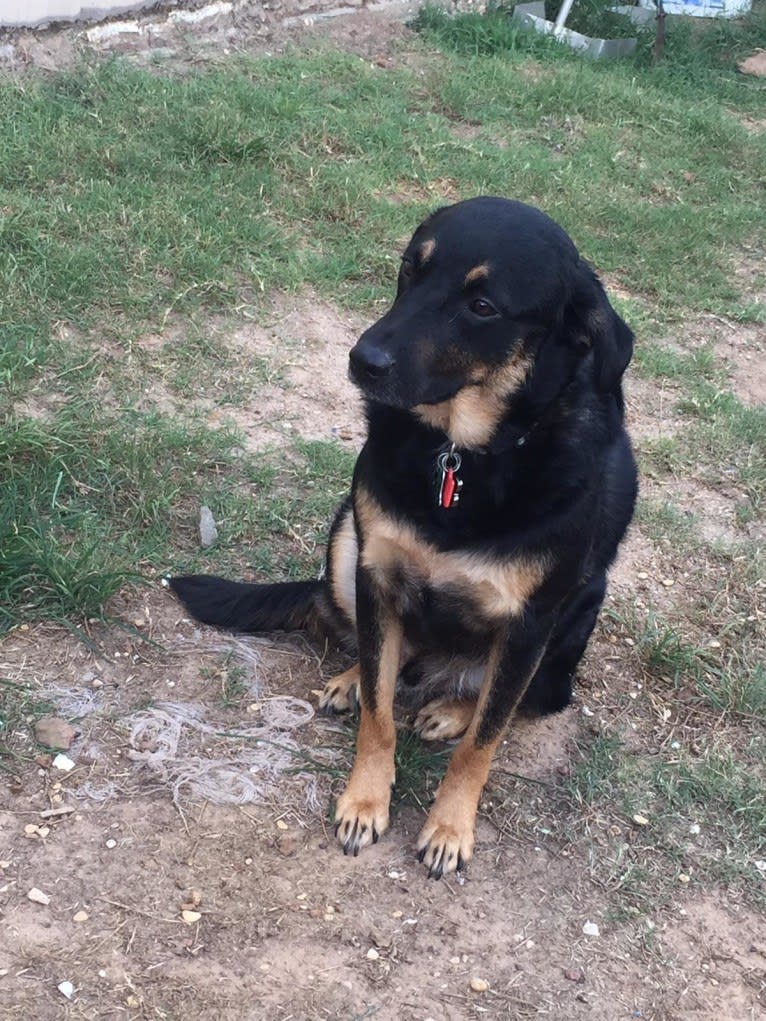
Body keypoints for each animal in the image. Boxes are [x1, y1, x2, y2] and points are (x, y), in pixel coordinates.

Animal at [170, 197, 637, 878]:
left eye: (482, 305)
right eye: (410, 270)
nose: (362, 360)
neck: (459, 456)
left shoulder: (529, 621)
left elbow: (485, 739)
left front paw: (449, 827)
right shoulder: (376, 570)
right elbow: (380, 712)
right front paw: (365, 799)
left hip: (579, 611)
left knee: (525, 696)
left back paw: (450, 707)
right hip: (345, 537)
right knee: (374, 651)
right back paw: (355, 680)